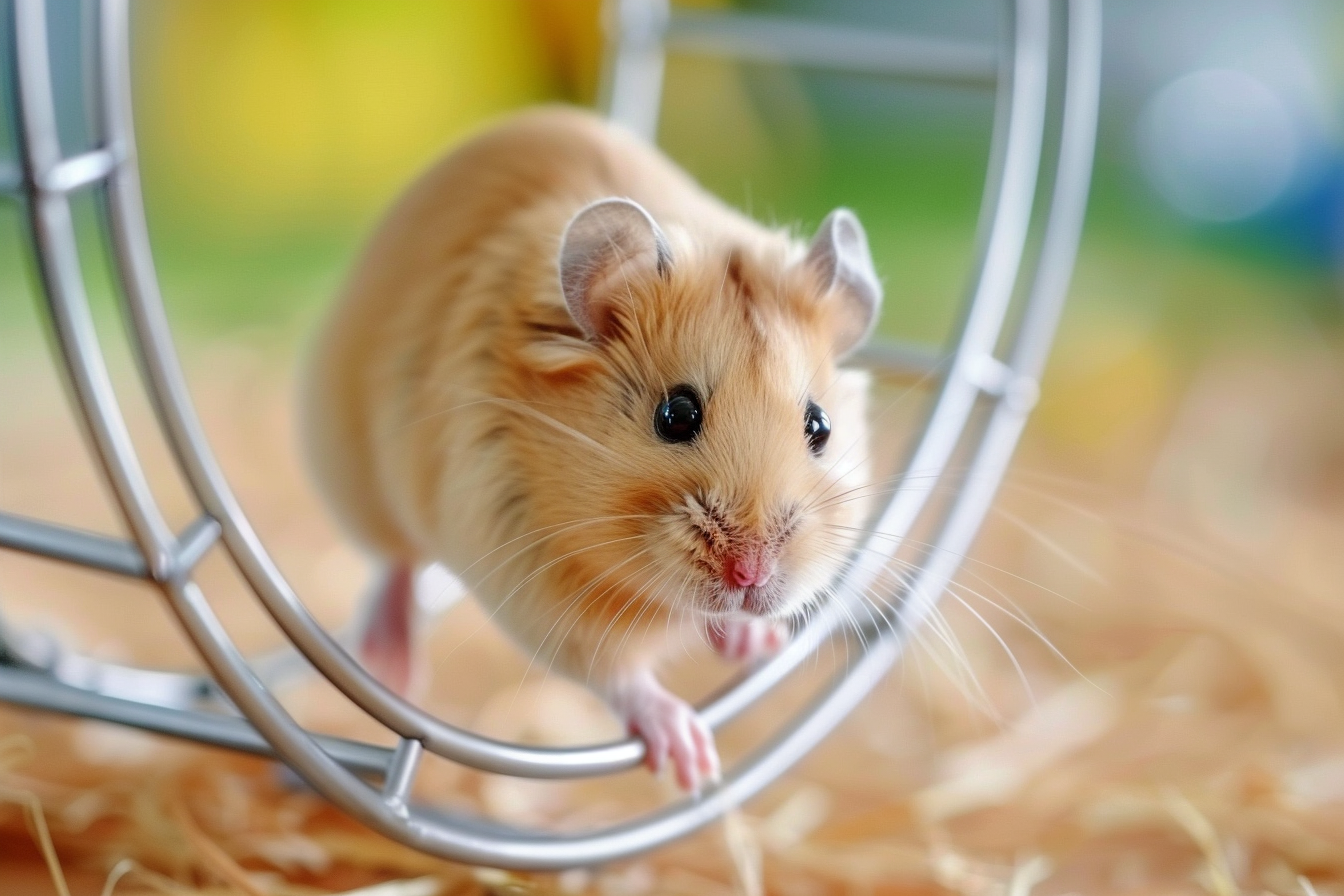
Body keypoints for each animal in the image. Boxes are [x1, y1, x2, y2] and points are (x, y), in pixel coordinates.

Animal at [302, 107, 881, 792]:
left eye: (819, 426)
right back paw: (390, 664)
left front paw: (755, 643)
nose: (751, 574)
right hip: (352, 470)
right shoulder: (538, 583)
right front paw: (692, 763)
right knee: (395, 561)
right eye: (676, 415)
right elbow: (618, 674)